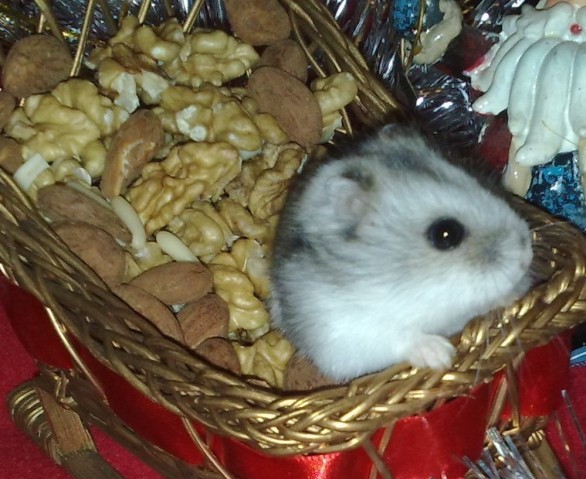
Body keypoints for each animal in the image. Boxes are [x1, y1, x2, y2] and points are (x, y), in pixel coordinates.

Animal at [269, 125, 534, 382]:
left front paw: (515, 294)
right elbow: (399, 338)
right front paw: (442, 354)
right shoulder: (345, 335)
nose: (527, 255)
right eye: (445, 234)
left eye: (477, 180)